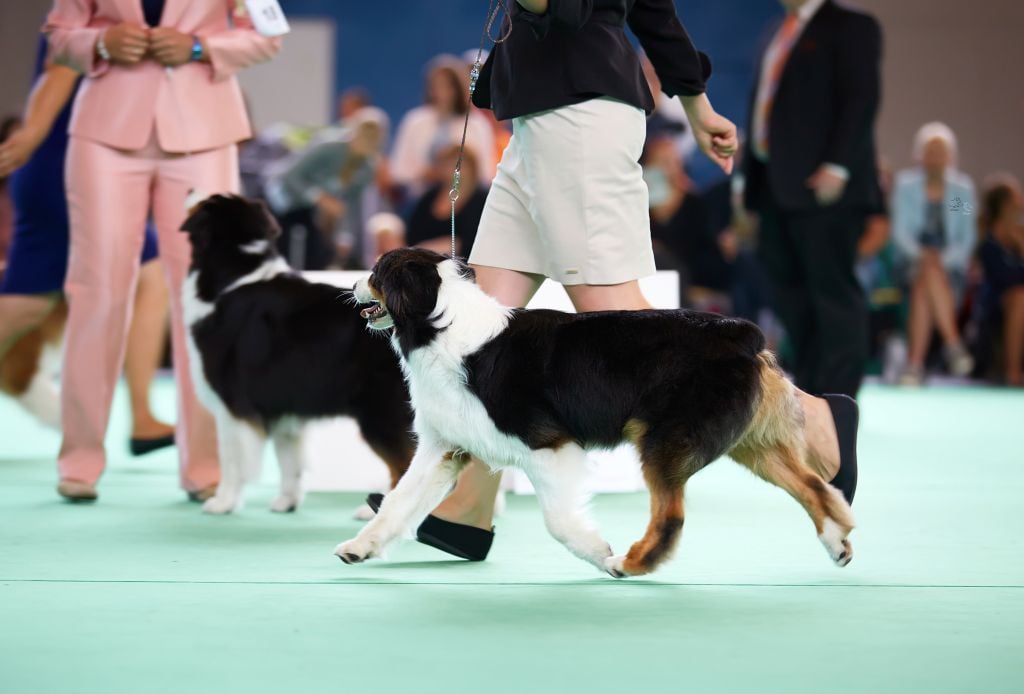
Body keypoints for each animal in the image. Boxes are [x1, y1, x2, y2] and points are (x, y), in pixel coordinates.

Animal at [181, 194, 414, 514]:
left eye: (207, 200)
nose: (190, 190)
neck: (234, 275)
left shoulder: (233, 404)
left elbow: (231, 458)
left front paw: (223, 502)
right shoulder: (284, 403)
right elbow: (289, 457)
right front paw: (287, 501)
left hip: (381, 414)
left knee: (403, 465)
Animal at [334, 248, 855, 577]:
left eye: (376, 272)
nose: (351, 284)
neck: (442, 327)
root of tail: (741, 333)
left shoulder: (548, 443)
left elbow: (558, 521)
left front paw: (599, 552)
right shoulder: (445, 447)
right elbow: (398, 503)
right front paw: (359, 548)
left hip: (664, 440)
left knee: (672, 515)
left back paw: (632, 563)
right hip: (750, 443)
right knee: (811, 485)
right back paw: (838, 540)